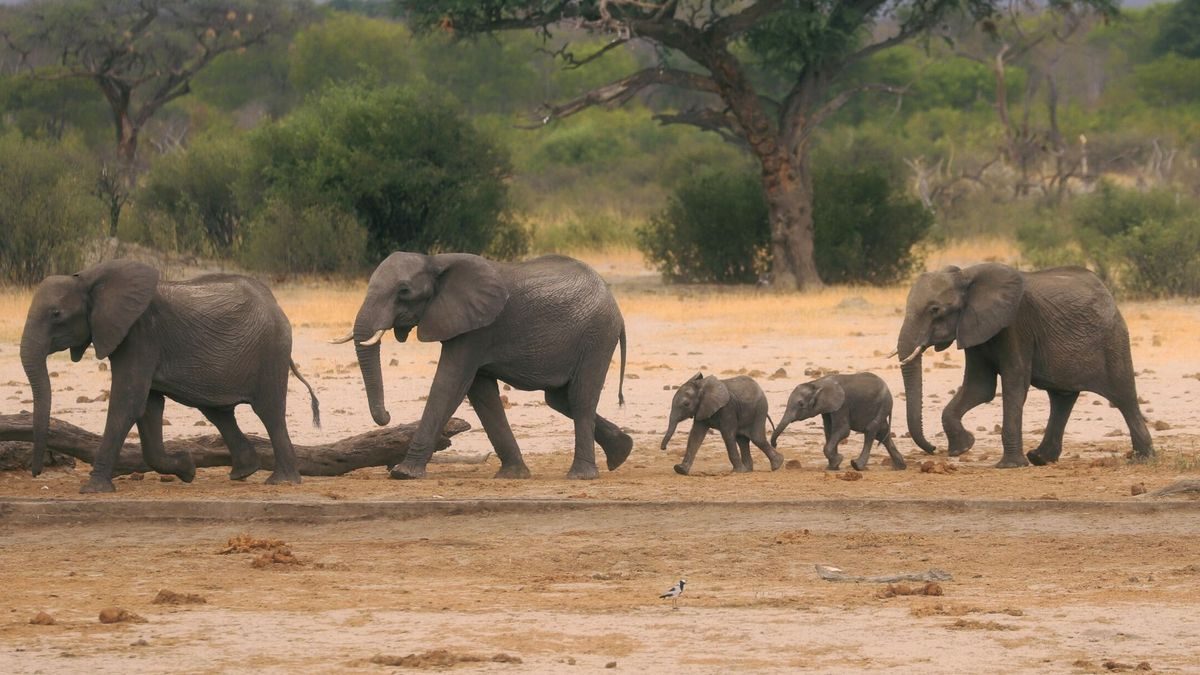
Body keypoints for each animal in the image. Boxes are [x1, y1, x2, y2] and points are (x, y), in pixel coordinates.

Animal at [20, 257, 319, 487]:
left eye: (56, 315)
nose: (36, 473)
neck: (88, 278)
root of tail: (276, 303)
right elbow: (148, 407)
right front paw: (187, 468)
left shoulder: (140, 335)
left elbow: (127, 403)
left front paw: (93, 489)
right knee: (218, 412)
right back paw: (243, 473)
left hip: (271, 351)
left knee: (269, 412)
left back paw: (282, 481)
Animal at [333, 251, 633, 478]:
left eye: (404, 291)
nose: (386, 416)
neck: (436, 261)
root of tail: (616, 307)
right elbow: (481, 394)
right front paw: (513, 475)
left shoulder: (477, 330)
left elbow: (450, 383)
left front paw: (404, 473)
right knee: (560, 399)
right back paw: (621, 452)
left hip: (596, 337)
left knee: (580, 400)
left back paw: (580, 475)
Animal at [657, 372, 787, 473]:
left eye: (686, 404)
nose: (663, 448)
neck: (701, 386)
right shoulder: (702, 408)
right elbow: (695, 435)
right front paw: (680, 470)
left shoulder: (727, 408)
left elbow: (727, 434)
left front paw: (736, 472)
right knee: (742, 440)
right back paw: (749, 469)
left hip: (759, 410)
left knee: (756, 438)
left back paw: (776, 465)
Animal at [772, 369, 902, 470]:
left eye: (800, 404)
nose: (775, 444)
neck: (817, 384)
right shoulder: (827, 409)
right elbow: (829, 431)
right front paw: (832, 467)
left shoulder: (842, 405)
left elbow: (843, 430)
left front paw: (838, 460)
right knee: (882, 433)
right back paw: (900, 466)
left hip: (884, 404)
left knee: (871, 429)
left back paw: (857, 465)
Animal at [897, 263, 1147, 468]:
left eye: (935, 310)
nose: (932, 449)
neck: (966, 276)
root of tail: (1107, 292)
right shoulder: (975, 329)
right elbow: (980, 387)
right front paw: (963, 447)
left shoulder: (1015, 325)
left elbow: (1013, 383)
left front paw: (1009, 465)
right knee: (1062, 398)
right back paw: (1039, 458)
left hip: (1112, 339)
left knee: (1123, 396)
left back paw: (1143, 458)